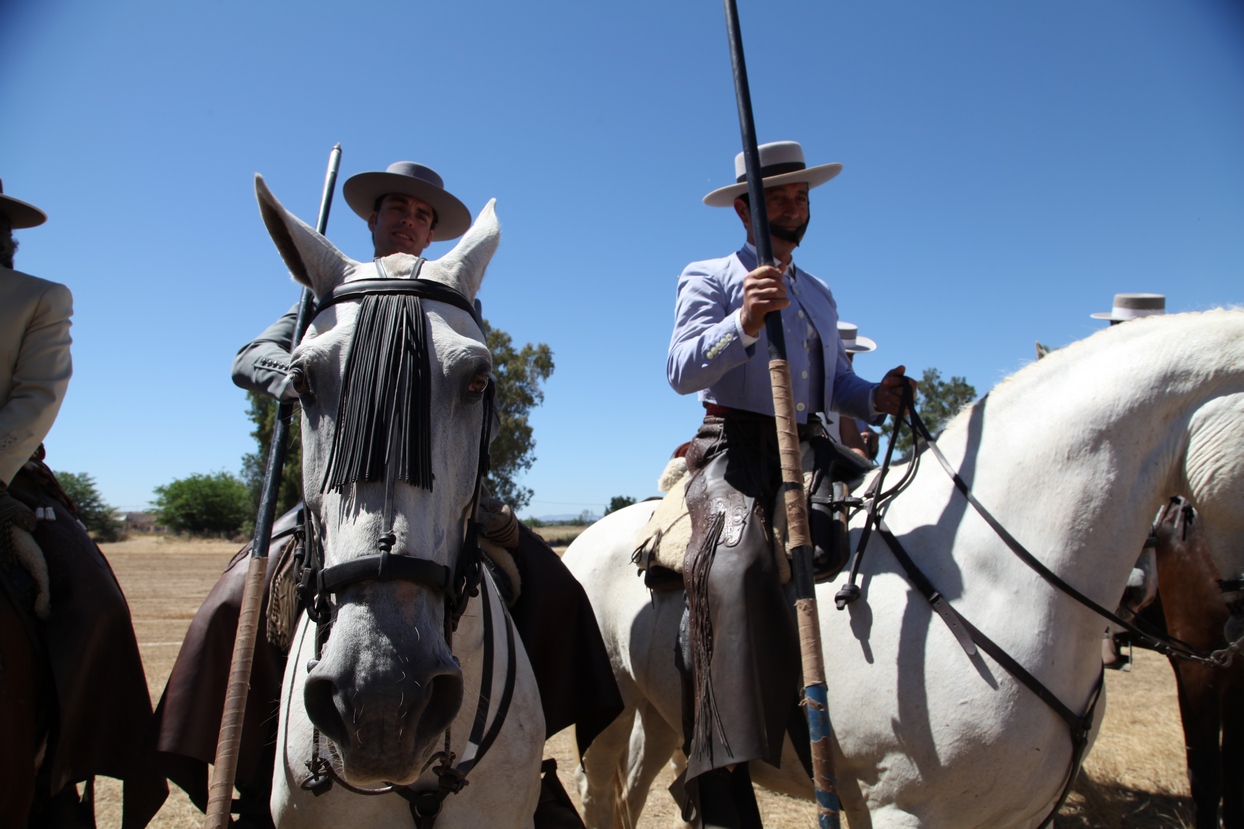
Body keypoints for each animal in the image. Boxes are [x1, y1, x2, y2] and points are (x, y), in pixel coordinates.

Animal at [569, 308, 1244, 826]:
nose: (1136, 588)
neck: (995, 579)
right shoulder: (905, 808)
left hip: (664, 719)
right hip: (611, 717)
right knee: (601, 796)